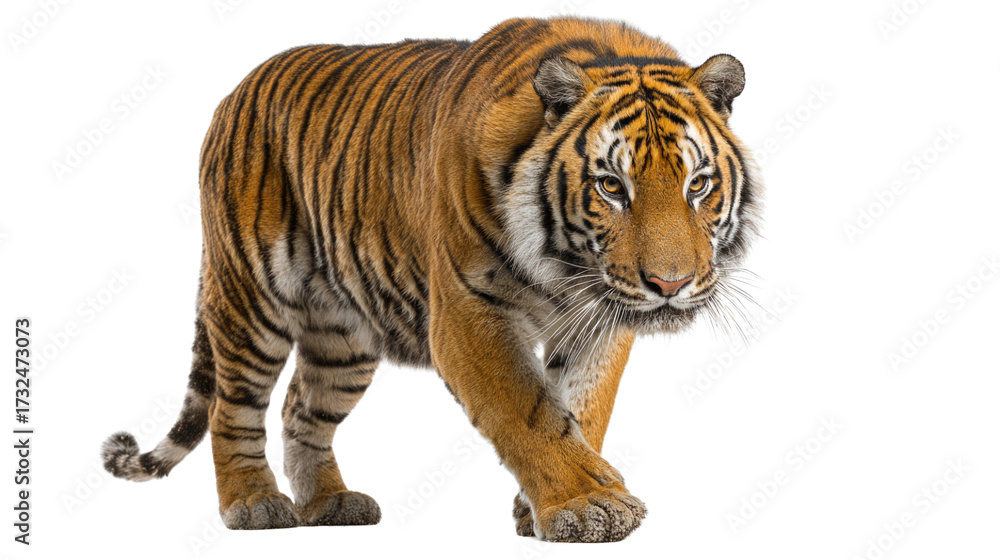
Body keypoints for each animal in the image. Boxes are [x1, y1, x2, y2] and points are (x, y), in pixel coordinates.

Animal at [100, 16, 761, 542]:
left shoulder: (597, 321)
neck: (565, 267)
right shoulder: (470, 315)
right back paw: (253, 505)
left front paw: (548, 505)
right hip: (250, 300)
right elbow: (530, 411)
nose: (669, 285)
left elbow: (581, 405)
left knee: (300, 407)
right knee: (232, 407)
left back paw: (329, 503)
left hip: (344, 336)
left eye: (698, 184)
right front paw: (586, 504)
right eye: (611, 186)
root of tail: (234, 92)